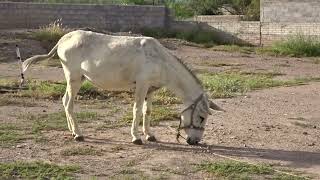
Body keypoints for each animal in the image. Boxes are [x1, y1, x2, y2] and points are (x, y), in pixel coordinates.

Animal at [22, 29, 222, 145]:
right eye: (202, 117)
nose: (194, 141)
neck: (161, 60)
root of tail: (63, 39)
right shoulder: (141, 85)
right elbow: (137, 110)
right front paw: (136, 138)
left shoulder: (150, 88)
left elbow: (147, 111)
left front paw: (150, 135)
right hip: (74, 78)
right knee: (69, 103)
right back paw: (78, 135)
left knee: (64, 101)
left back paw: (72, 132)